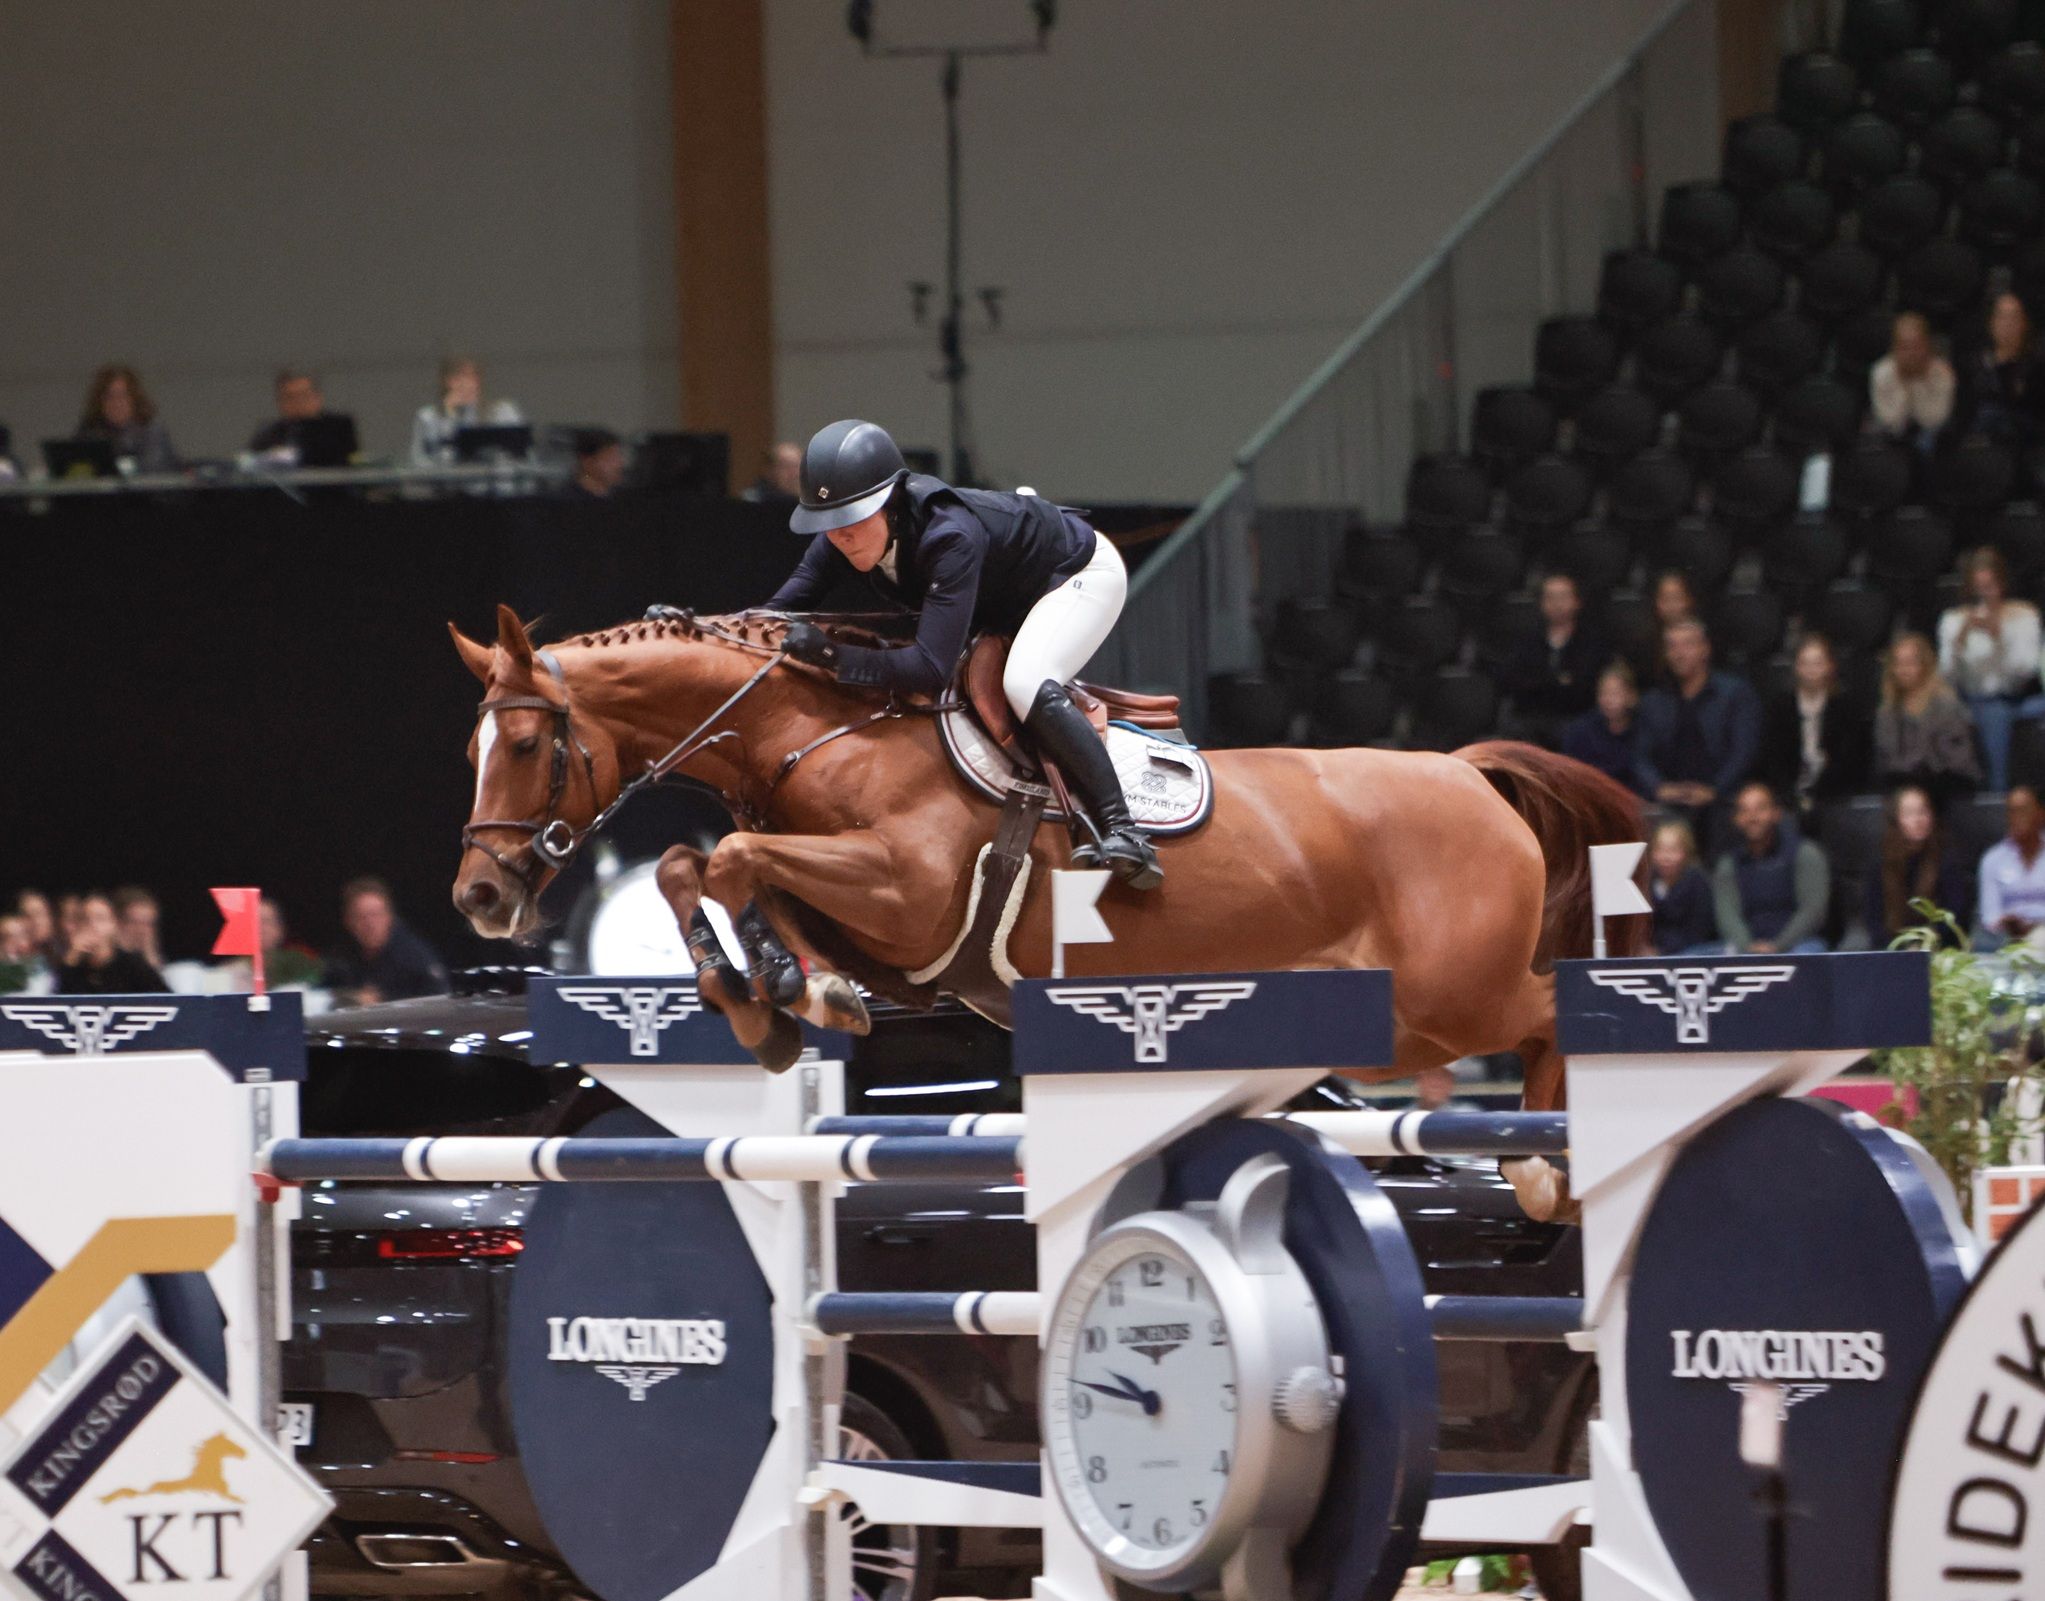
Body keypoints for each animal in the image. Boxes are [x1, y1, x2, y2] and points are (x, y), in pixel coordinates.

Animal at [449, 604, 1647, 1217]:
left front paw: (783, 991)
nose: (479, 896)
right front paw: (775, 996)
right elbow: (697, 868)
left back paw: (1545, 1167)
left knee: (1549, 1015)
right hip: (1396, 1016)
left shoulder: (904, 888)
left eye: (526, 742)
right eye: (472, 748)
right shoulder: (894, 942)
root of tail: (1469, 773)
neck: (811, 728)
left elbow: (732, 855)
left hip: (1444, 1004)